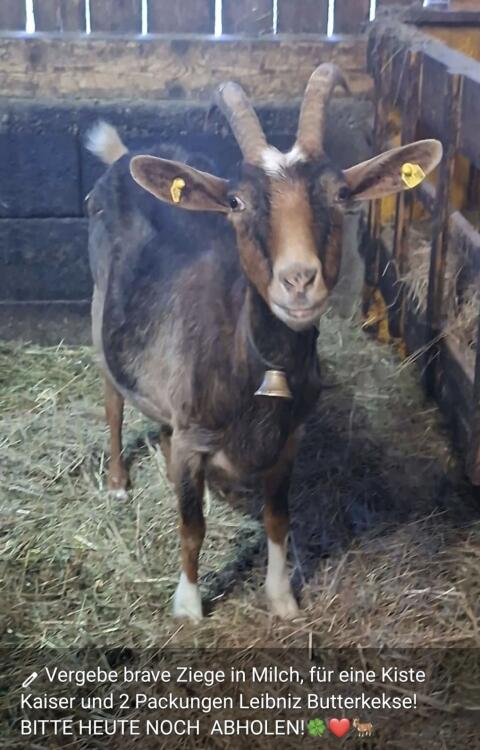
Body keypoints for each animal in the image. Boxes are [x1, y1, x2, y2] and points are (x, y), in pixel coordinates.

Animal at [86, 64, 442, 622]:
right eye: (237, 201)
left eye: (341, 194)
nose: (299, 280)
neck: (258, 368)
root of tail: (126, 155)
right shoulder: (196, 436)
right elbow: (191, 528)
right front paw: (188, 606)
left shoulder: (287, 439)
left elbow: (278, 519)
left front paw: (282, 598)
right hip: (100, 305)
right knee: (113, 399)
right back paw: (120, 482)